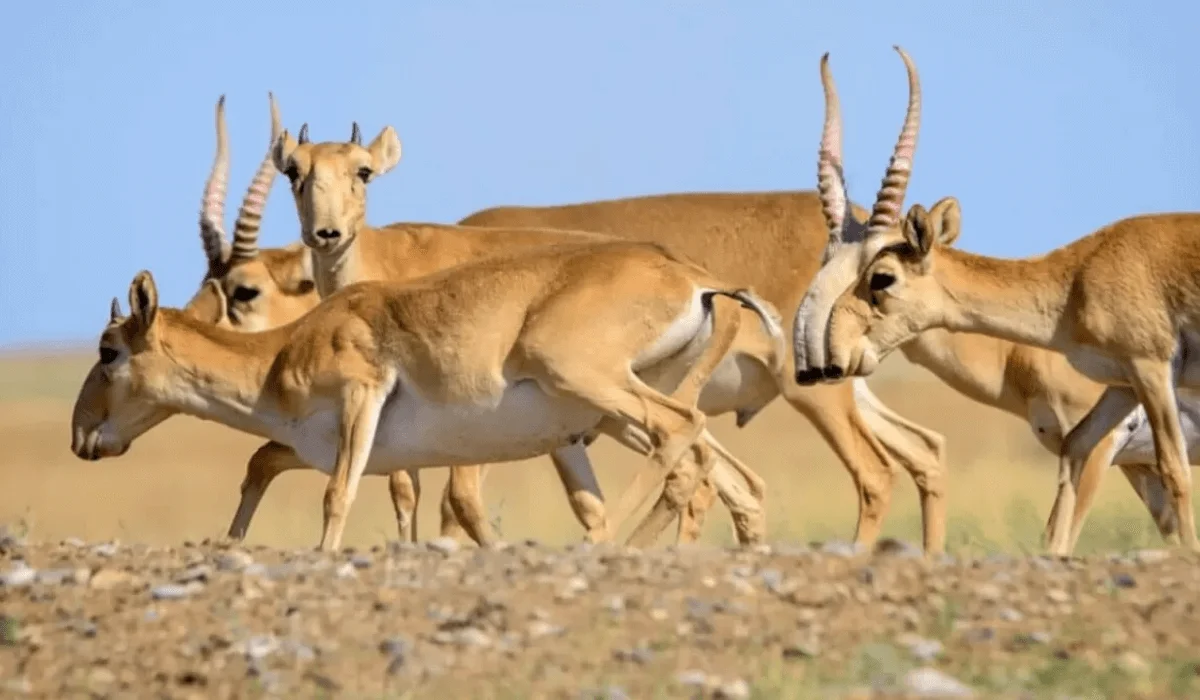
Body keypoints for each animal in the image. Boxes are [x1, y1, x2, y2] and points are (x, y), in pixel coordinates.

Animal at [72, 231, 787, 552]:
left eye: (109, 351)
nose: (82, 436)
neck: (286, 349)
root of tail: (693, 278)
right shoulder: (308, 445)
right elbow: (258, 465)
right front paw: (232, 546)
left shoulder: (359, 401)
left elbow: (336, 496)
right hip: (612, 411)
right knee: (722, 472)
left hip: (595, 388)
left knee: (680, 437)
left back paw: (600, 546)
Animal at [792, 50, 1200, 552]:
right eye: (826, 262)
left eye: (881, 275)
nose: (830, 359)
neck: (1079, 275)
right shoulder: (1122, 386)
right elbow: (1072, 466)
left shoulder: (1149, 372)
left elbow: (1174, 471)